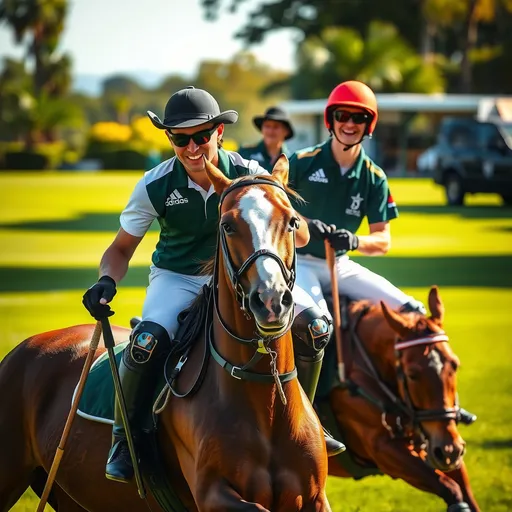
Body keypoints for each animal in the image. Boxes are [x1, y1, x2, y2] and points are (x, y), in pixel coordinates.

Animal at [0, 156, 332, 512]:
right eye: (227, 226)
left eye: (292, 222)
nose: (270, 301)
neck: (264, 400)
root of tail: (28, 345)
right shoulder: (213, 495)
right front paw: (100, 293)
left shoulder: (315, 497)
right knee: (147, 339)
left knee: (315, 326)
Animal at [320, 286, 480, 510]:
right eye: (412, 374)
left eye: (455, 364)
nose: (449, 450)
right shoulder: (383, 448)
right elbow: (452, 490)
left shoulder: (435, 442)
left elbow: (466, 493)